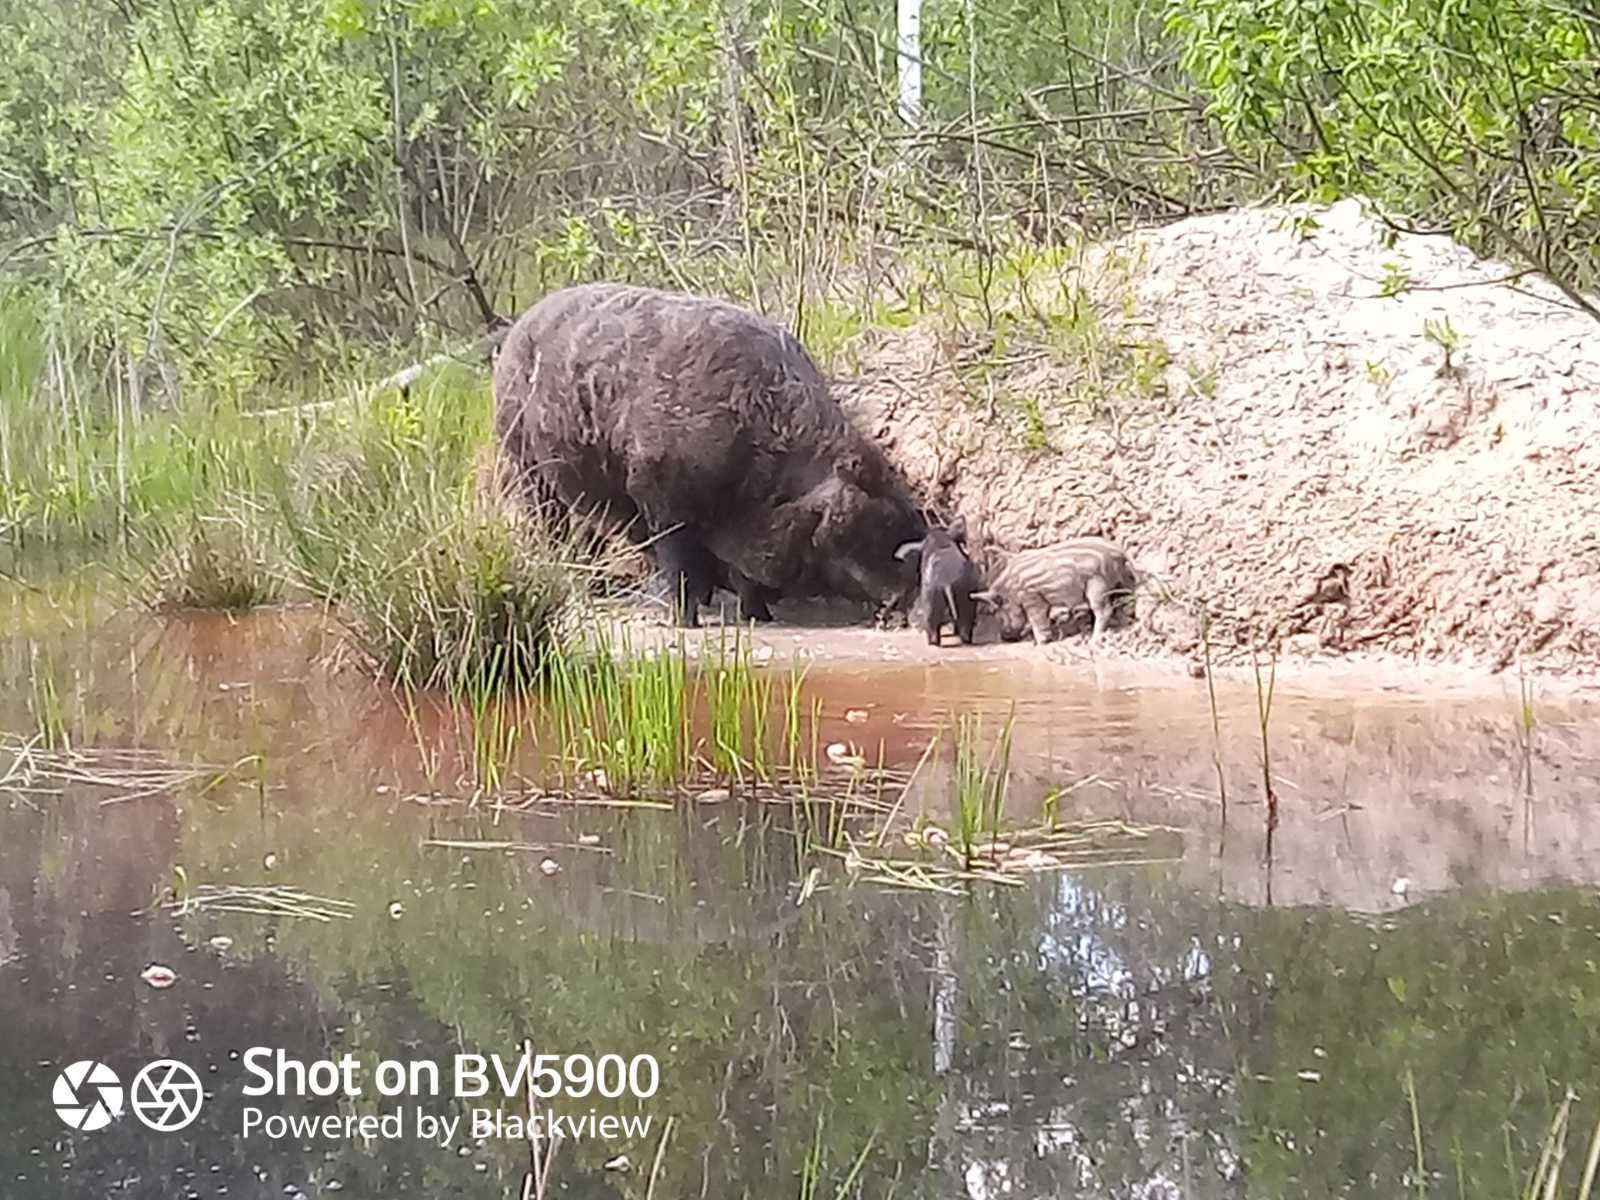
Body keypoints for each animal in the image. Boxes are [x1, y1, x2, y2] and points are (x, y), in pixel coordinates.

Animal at [496, 281, 928, 624]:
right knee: (550, 521)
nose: (904, 594)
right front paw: (686, 620)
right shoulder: (660, 496)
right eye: (874, 517)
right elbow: (680, 563)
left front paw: (758, 616)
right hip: (525, 463)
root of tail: (516, 331)